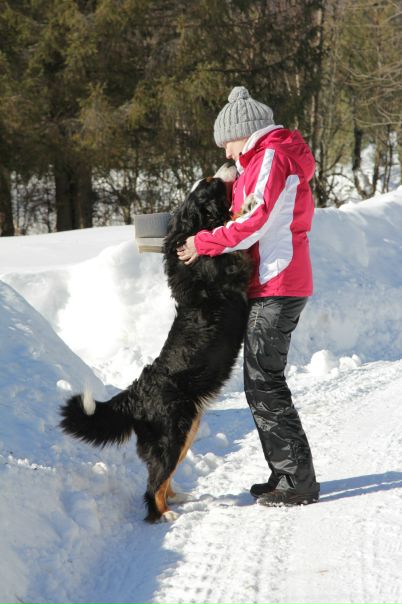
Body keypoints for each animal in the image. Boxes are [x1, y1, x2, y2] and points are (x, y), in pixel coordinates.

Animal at [60, 165, 251, 523]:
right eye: (210, 182)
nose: (228, 165)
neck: (189, 230)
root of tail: (136, 395)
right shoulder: (233, 267)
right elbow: (232, 236)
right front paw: (243, 209)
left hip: (186, 430)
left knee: (164, 479)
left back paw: (179, 498)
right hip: (172, 435)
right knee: (153, 487)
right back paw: (165, 515)